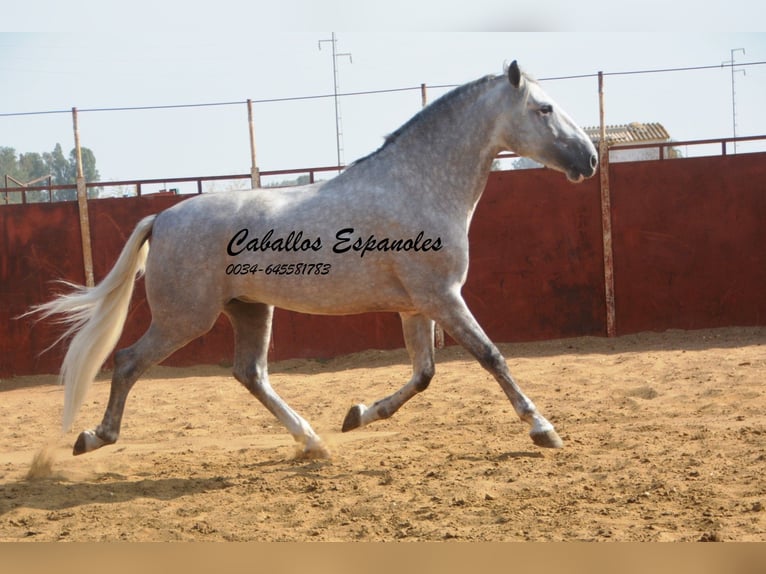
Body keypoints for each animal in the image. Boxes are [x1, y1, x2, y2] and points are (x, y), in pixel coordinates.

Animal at [33, 62, 600, 460]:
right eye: (544, 109)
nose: (590, 158)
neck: (417, 186)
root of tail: (163, 217)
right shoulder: (443, 298)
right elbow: (491, 357)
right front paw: (544, 430)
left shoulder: (417, 306)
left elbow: (423, 374)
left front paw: (357, 414)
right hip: (185, 318)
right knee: (129, 361)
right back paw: (94, 437)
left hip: (250, 309)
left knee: (250, 374)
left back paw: (313, 442)